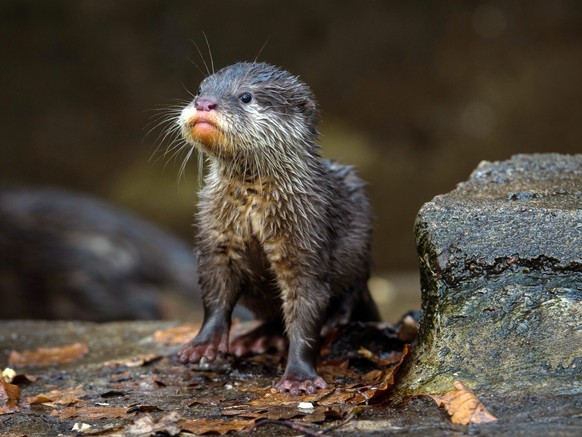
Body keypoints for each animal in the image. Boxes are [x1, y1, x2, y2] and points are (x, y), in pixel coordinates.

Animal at [176, 62, 380, 396]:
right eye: (200, 90)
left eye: (246, 96)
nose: (204, 104)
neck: (252, 207)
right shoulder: (215, 238)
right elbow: (214, 295)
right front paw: (202, 346)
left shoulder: (307, 237)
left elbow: (307, 309)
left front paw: (299, 377)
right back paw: (256, 338)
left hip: (361, 243)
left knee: (355, 289)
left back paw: (334, 320)